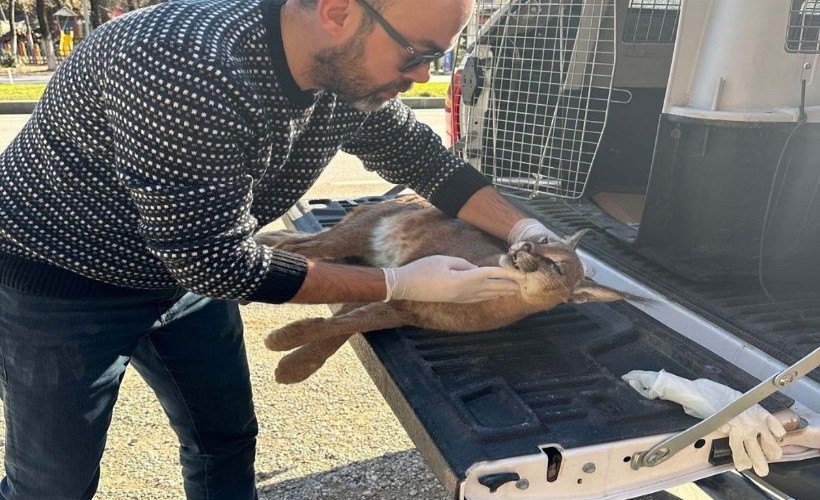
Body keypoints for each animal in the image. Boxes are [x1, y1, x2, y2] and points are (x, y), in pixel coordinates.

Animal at [256, 195, 640, 382]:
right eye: (544, 241)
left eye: (556, 266)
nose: (525, 246)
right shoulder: (402, 284)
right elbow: (342, 322)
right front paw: (287, 347)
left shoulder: (400, 304)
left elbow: (350, 323)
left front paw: (294, 360)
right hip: (353, 235)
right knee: (302, 249)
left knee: (301, 246)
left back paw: (268, 239)